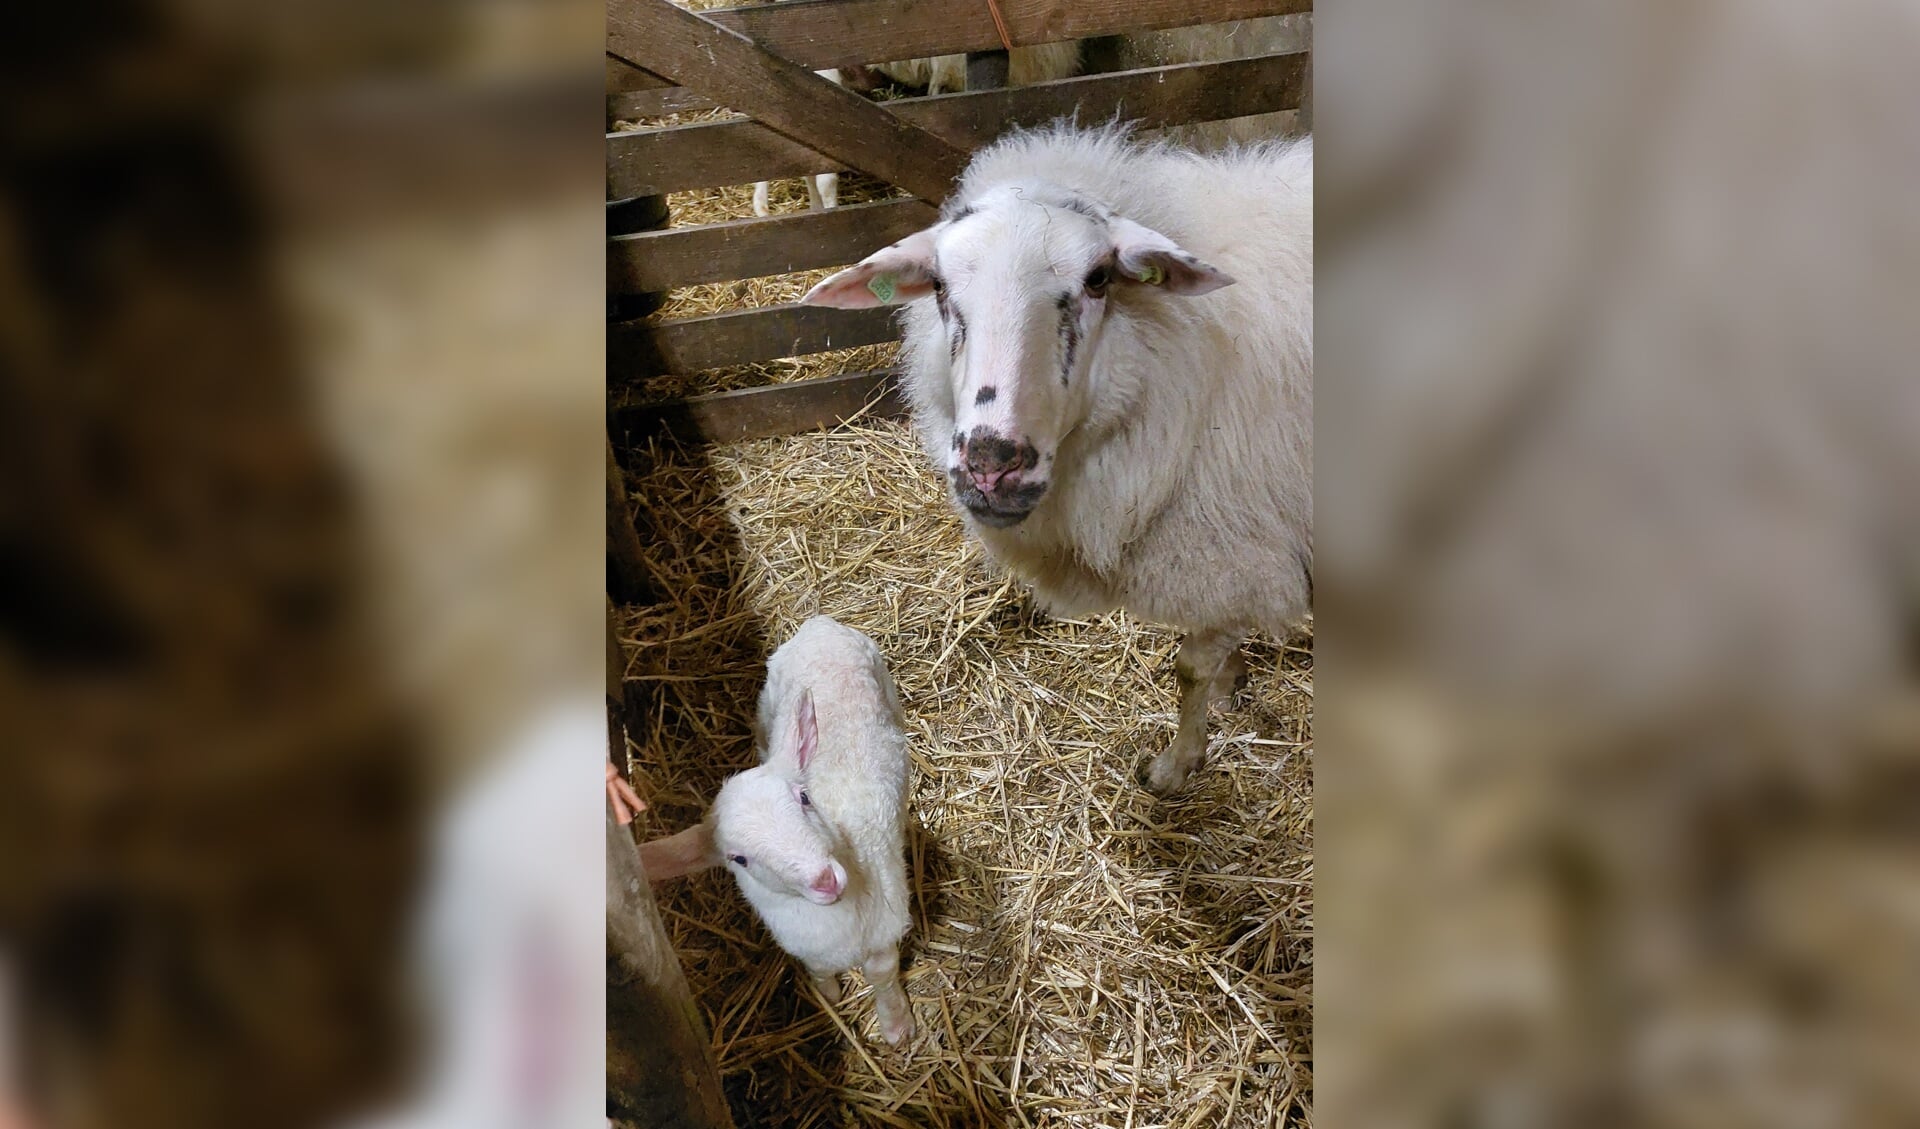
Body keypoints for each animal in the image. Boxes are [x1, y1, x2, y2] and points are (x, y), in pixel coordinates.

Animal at [802, 123, 1313, 794]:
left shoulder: (1236, 551)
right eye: (938, 286)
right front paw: (1232, 682)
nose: (991, 464)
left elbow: (1190, 669)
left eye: (1098, 278)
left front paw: (1176, 764)